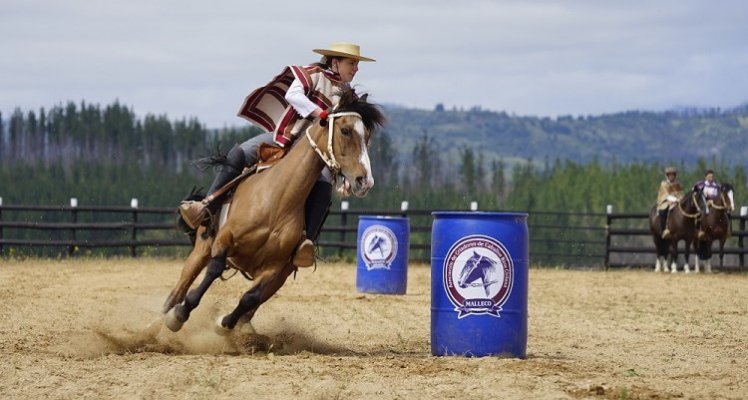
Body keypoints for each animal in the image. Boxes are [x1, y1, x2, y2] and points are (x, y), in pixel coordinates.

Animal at [164, 88, 386, 334]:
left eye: (367, 135)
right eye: (345, 130)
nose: (364, 181)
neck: (277, 203)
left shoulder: (275, 267)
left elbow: (250, 298)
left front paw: (225, 323)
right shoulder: (224, 240)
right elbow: (214, 269)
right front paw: (180, 315)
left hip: (281, 275)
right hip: (201, 249)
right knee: (178, 290)